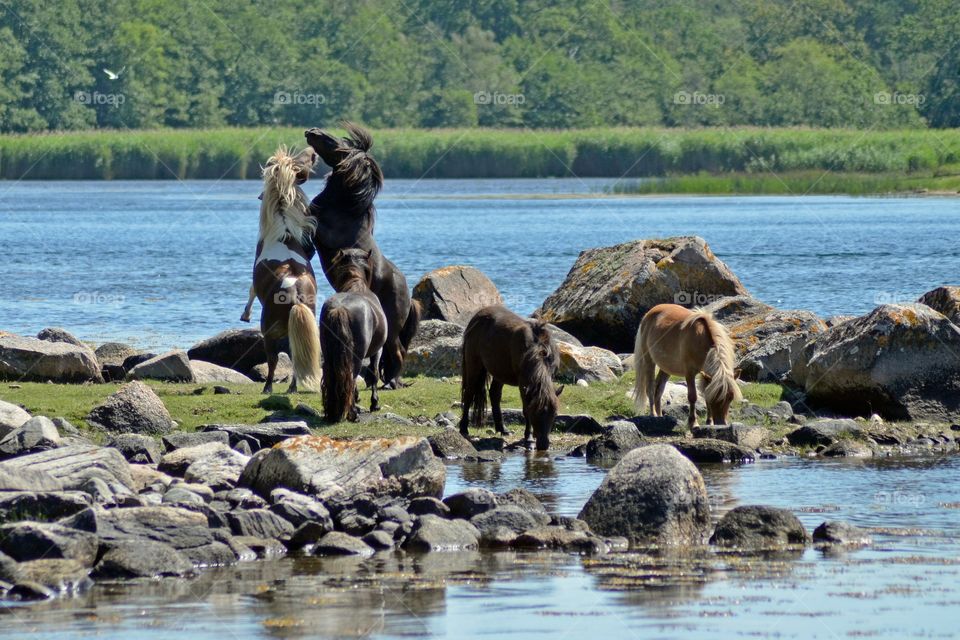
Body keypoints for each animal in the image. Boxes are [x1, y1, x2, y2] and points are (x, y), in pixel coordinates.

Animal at [248, 146, 322, 396]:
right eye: (302, 158)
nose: (313, 151)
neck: (284, 232)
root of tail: (295, 294)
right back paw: (292, 388)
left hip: (269, 331)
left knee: (273, 359)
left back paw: (268, 388)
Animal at [302, 122, 418, 388]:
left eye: (340, 144)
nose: (311, 131)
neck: (345, 209)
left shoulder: (323, 232)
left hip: (392, 326)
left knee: (397, 352)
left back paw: (390, 383)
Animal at [318, 248, 386, 422]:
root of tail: (339, 308)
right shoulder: (378, 350)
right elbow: (373, 374)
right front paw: (374, 403)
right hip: (357, 356)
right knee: (352, 375)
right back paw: (353, 413)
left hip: (329, 355)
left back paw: (333, 411)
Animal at [458, 304, 564, 450]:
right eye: (534, 413)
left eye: (555, 414)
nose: (543, 445)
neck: (536, 349)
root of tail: (476, 317)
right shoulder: (523, 383)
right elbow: (525, 409)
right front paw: (528, 438)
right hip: (474, 365)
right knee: (469, 393)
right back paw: (463, 429)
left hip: (499, 372)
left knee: (494, 394)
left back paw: (502, 429)